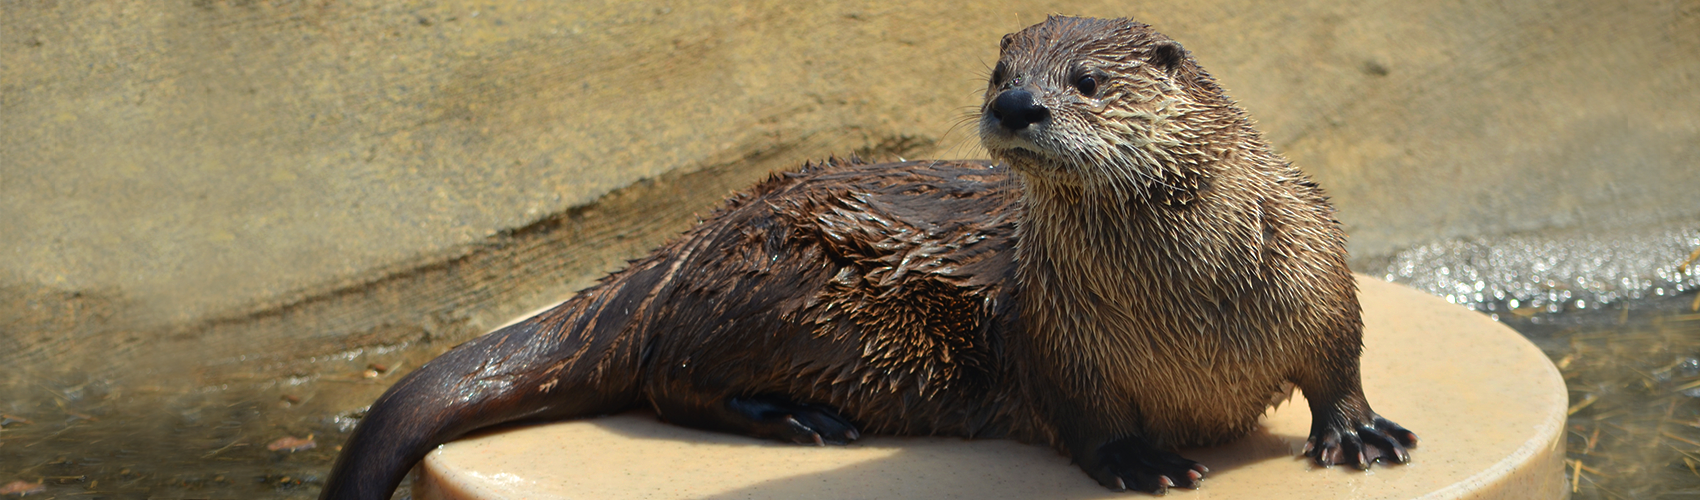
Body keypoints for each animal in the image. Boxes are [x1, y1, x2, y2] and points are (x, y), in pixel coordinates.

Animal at [316, 16, 1407, 500]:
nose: (1018, 104)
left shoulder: (1315, 269)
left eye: (1089, 80)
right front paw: (1142, 459)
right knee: (671, 381)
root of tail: (676, 249)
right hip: (779, 288)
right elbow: (1083, 415)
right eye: (999, 70)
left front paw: (1361, 433)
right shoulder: (1056, 335)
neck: (1193, 301)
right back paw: (799, 420)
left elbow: (1339, 356)